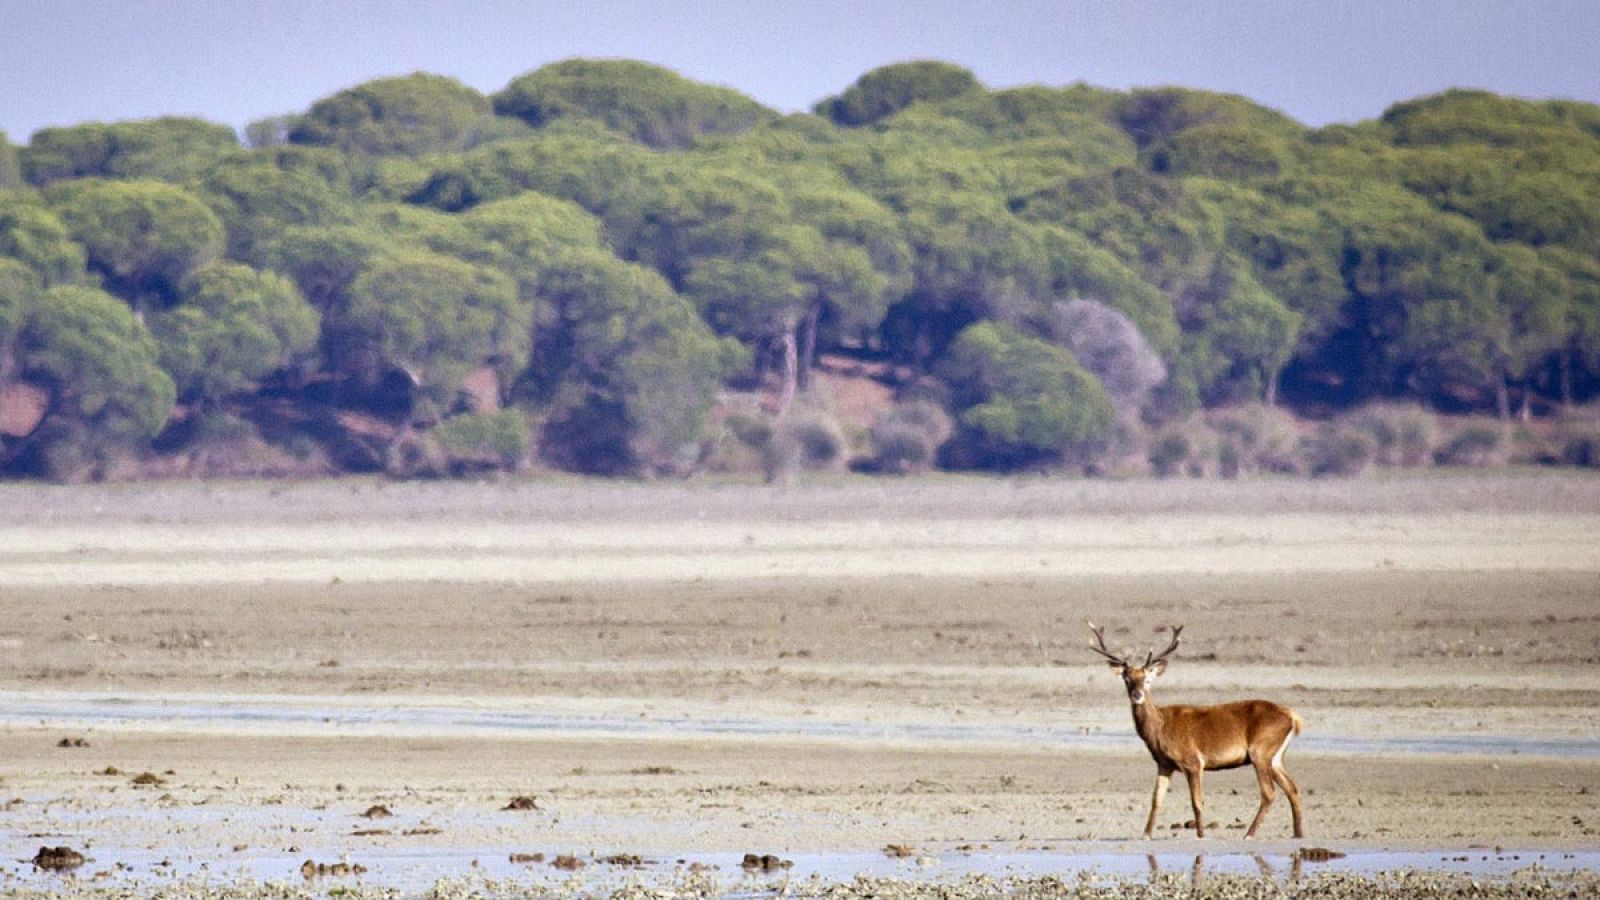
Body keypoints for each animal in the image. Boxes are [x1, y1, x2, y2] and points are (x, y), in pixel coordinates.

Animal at [1088, 621, 1299, 839]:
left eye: (1147, 679)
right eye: (1126, 679)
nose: (1137, 694)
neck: (1160, 730)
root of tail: (1293, 717)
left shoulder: (1193, 761)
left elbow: (1197, 802)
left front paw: (1201, 835)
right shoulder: (1164, 764)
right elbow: (1156, 800)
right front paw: (1146, 834)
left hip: (1260, 751)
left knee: (1269, 793)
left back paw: (1249, 834)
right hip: (1274, 757)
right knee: (1293, 788)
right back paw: (1298, 833)